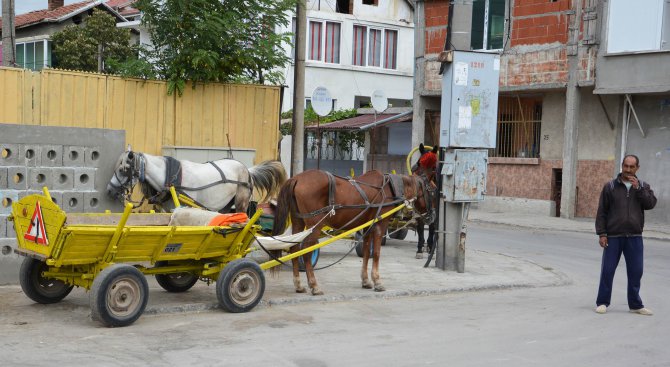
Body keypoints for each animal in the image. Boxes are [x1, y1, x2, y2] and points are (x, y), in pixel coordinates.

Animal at [272, 170, 436, 296]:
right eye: (432, 192)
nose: (432, 217)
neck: (390, 188)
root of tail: (296, 178)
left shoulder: (368, 226)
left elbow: (366, 252)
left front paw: (366, 280)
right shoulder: (380, 225)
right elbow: (376, 253)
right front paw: (377, 281)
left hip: (298, 221)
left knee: (294, 248)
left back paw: (298, 285)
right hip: (314, 224)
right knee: (306, 250)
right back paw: (314, 285)